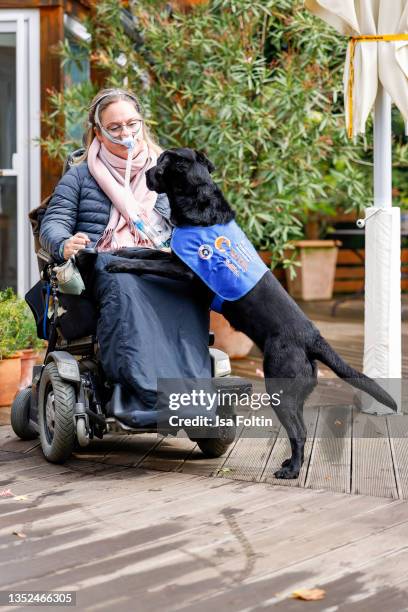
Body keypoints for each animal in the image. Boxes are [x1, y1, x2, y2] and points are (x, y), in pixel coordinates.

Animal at [107, 147, 396, 478]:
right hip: (294, 391)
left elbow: (149, 262)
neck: (198, 205)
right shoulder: (176, 258)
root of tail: (313, 337)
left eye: (162, 163)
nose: (144, 174)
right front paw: (122, 251)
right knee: (301, 428)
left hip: (279, 385)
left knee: (298, 431)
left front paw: (117, 264)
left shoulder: (186, 271)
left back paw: (291, 470)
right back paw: (290, 464)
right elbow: (148, 252)